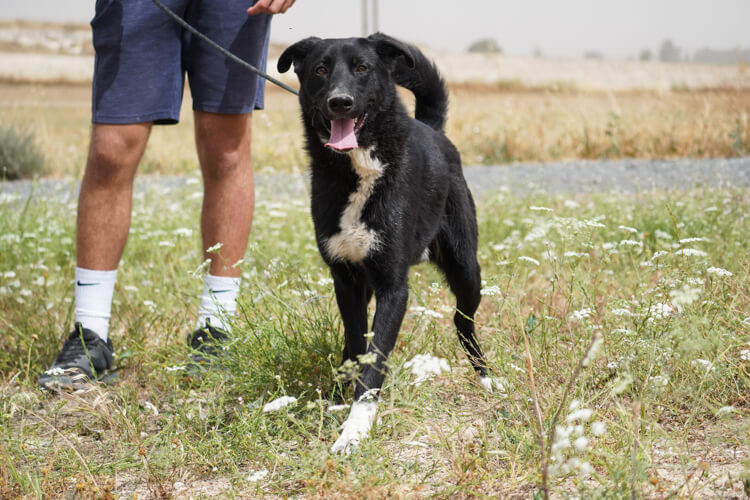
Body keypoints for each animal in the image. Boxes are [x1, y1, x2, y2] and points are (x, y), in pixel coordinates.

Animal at [280, 31, 490, 454]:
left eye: (362, 67)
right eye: (320, 69)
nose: (340, 101)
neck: (359, 169)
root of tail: (433, 129)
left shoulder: (394, 286)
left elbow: (374, 360)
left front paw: (355, 430)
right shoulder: (346, 281)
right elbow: (357, 348)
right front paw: (341, 405)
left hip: (466, 268)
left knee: (464, 323)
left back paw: (489, 379)